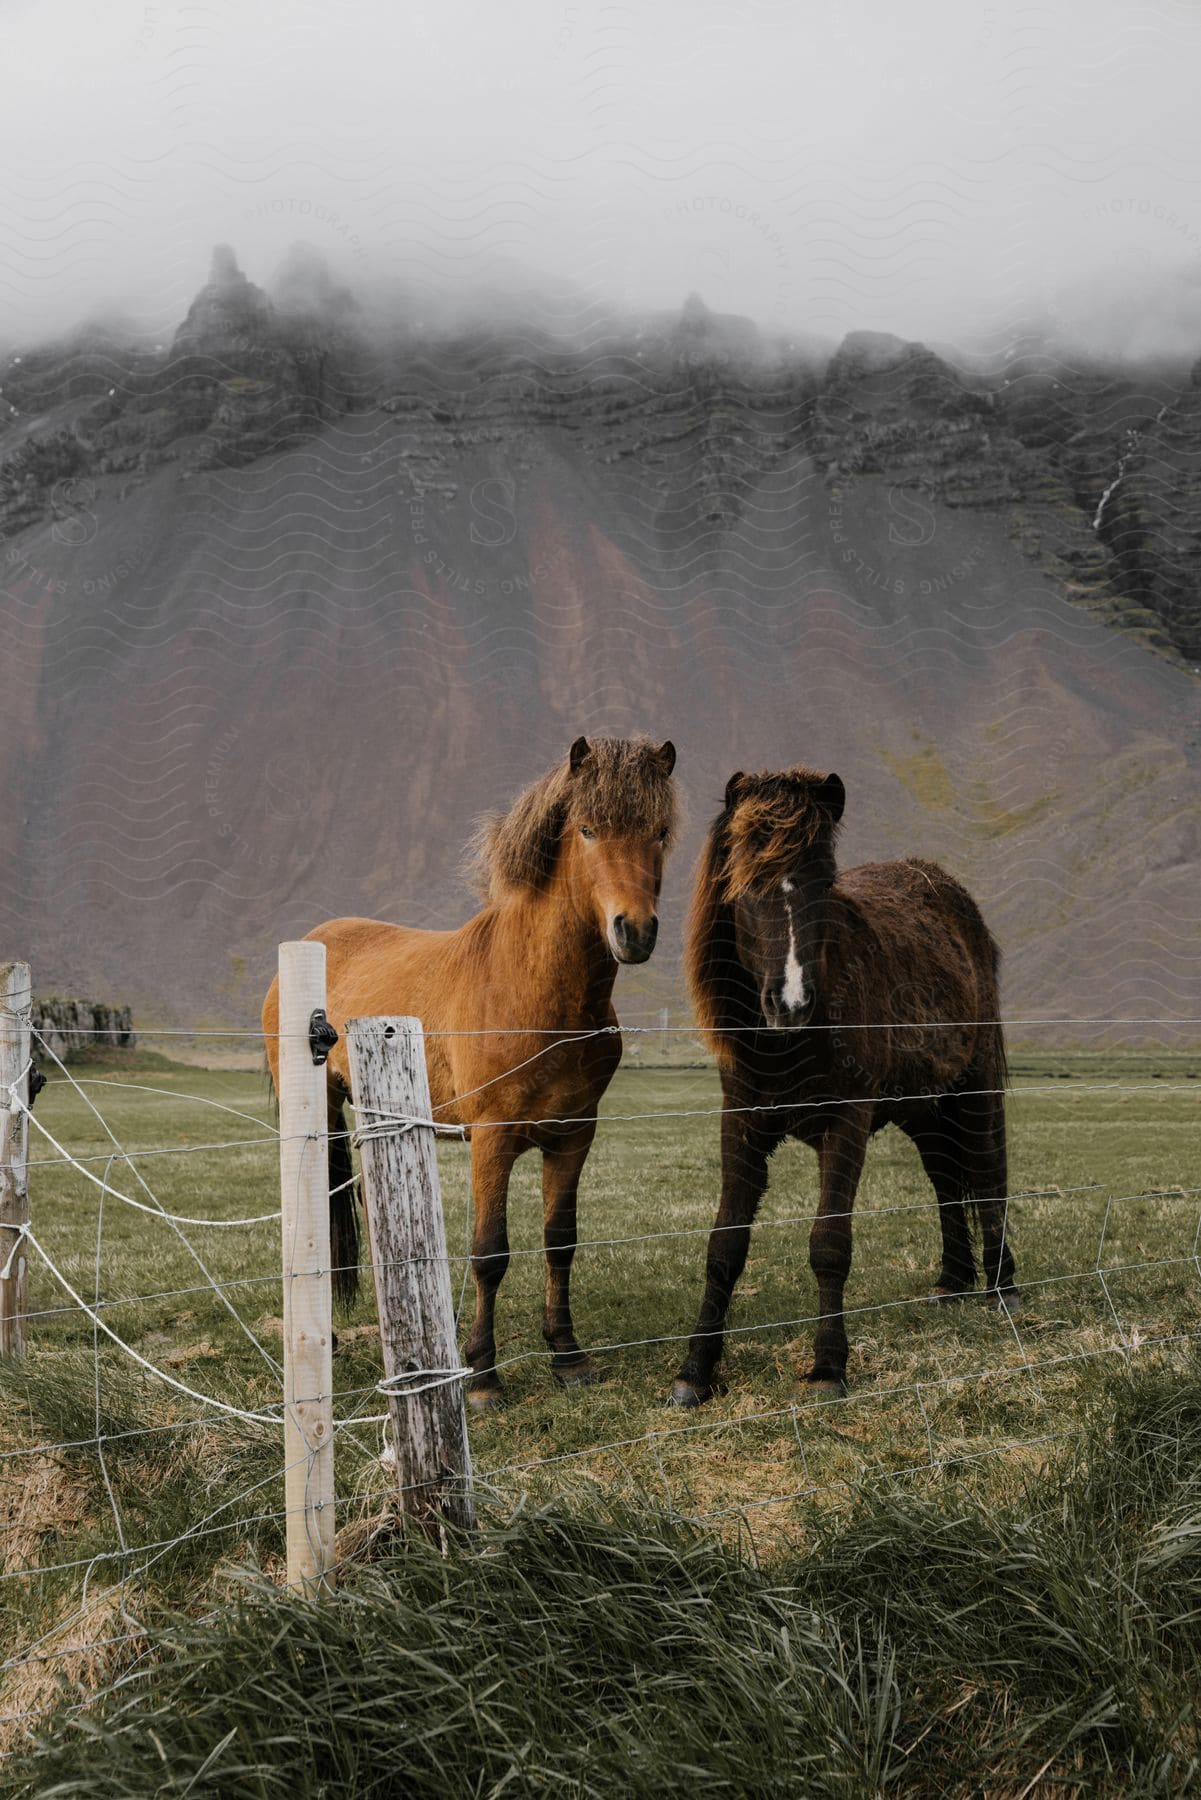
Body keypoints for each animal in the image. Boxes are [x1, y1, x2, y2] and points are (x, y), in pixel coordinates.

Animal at [262, 730, 677, 1404]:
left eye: (660, 831)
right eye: (588, 829)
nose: (634, 931)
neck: (533, 991)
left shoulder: (574, 1137)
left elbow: (560, 1243)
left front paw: (567, 1356)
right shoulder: (493, 1139)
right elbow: (490, 1254)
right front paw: (483, 1376)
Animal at [673, 759, 1022, 1404]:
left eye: (825, 881)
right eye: (744, 882)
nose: (792, 1003)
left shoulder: (847, 1123)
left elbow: (829, 1245)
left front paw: (828, 1368)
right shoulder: (741, 1127)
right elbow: (724, 1246)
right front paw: (695, 1371)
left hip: (976, 1087)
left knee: (989, 1174)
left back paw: (1001, 1286)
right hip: (920, 1106)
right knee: (945, 1177)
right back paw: (951, 1282)